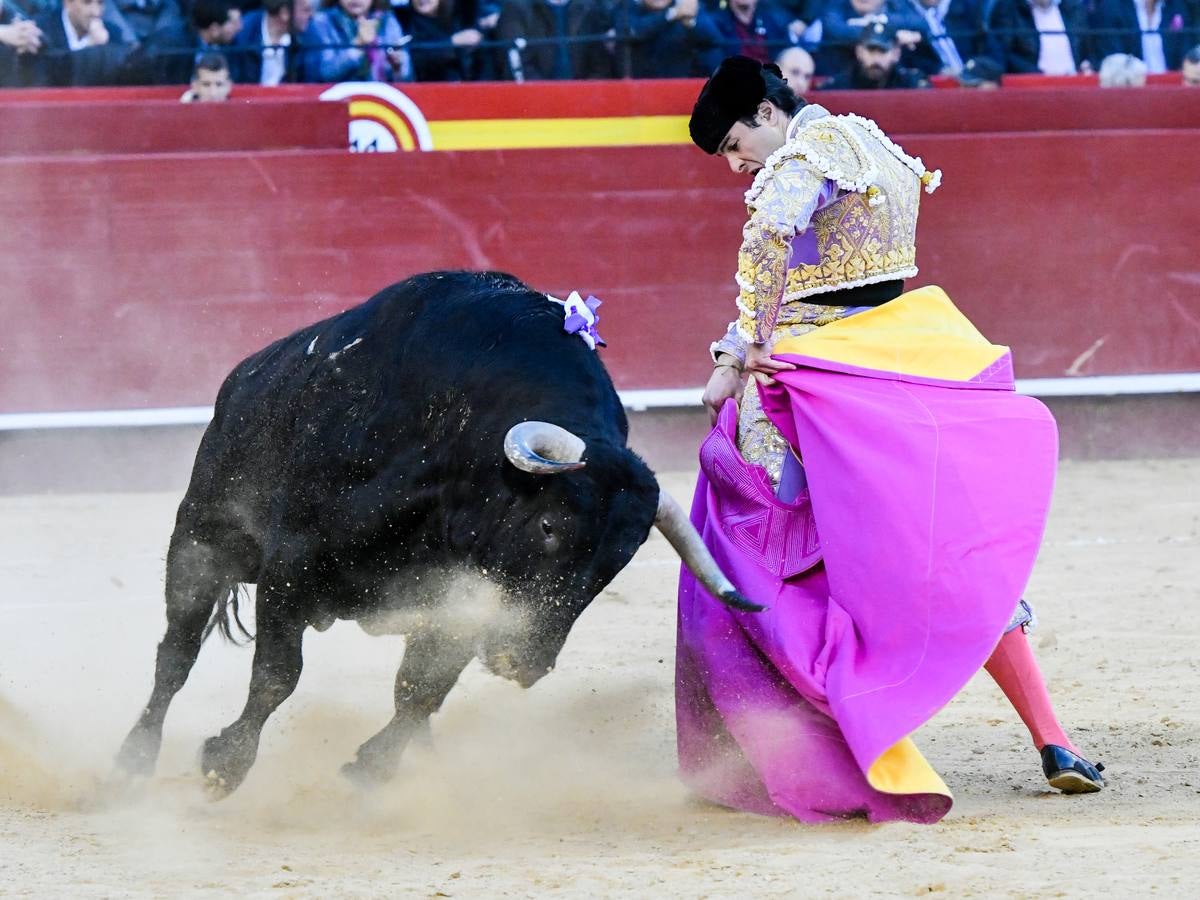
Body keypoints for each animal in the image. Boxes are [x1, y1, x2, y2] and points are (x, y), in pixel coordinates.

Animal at [114, 271, 758, 801]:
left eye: (616, 564)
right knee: (175, 655)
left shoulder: (460, 602)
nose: (524, 663)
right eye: (549, 525)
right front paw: (224, 763)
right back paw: (133, 760)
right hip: (199, 540)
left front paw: (371, 767)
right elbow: (277, 675)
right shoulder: (291, 570)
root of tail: (243, 379)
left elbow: (421, 689)